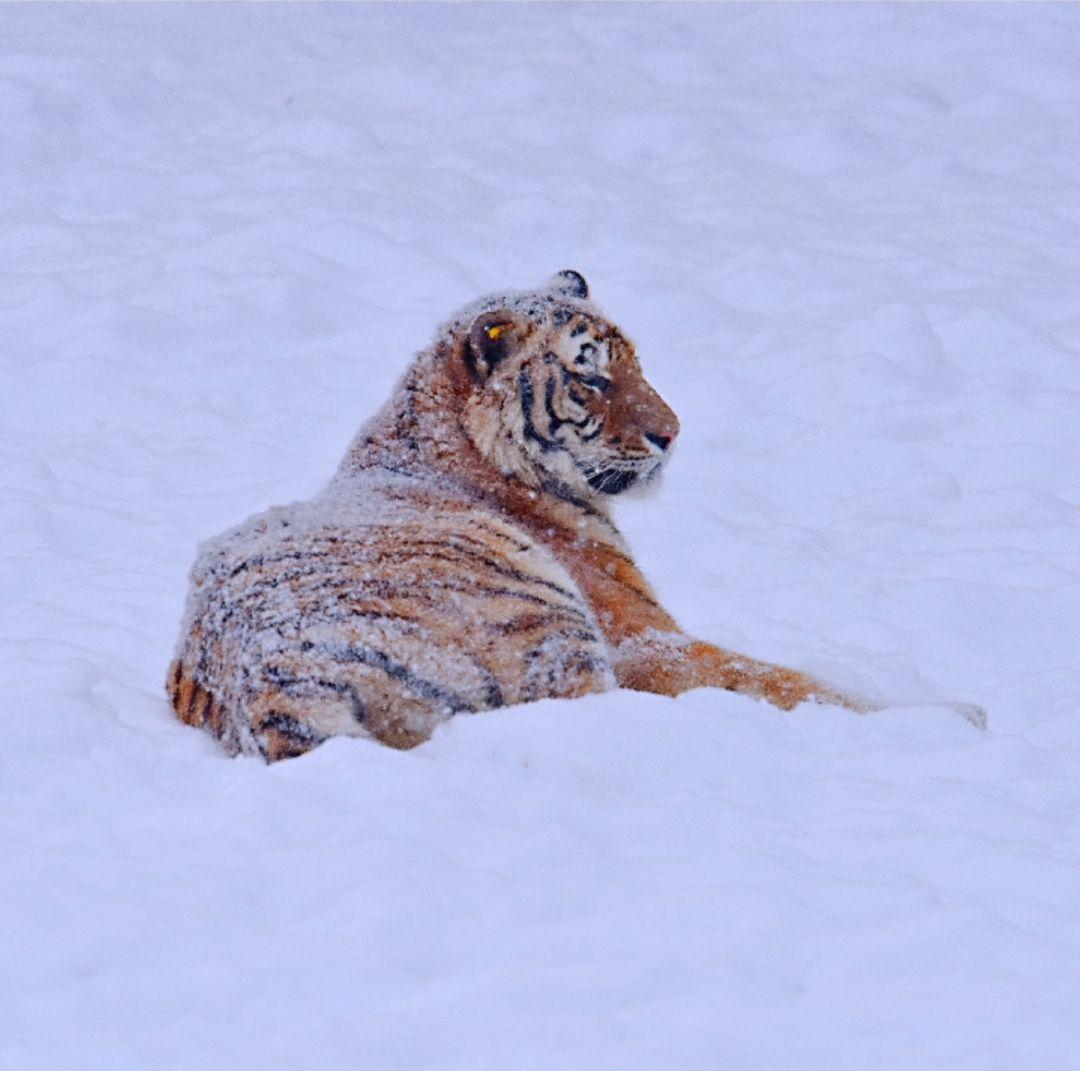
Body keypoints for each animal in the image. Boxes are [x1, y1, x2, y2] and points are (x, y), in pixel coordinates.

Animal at [168, 269, 989, 760]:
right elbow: (787, 678)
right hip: (552, 625)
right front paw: (953, 716)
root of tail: (274, 688)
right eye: (590, 376)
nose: (674, 433)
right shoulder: (647, 636)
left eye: (635, 360)